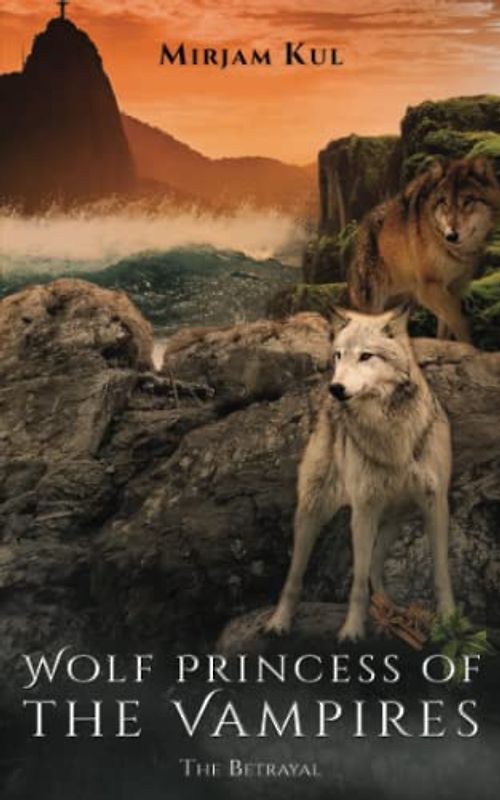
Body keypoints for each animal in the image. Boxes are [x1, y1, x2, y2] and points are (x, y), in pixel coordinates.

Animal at [266, 307, 455, 641]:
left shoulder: (436, 504)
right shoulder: (364, 509)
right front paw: (352, 629)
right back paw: (279, 622)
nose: (336, 388)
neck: (392, 436)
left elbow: (441, 572)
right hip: (312, 513)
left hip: (393, 519)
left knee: (376, 567)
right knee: (295, 576)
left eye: (367, 356)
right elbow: (356, 581)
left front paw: (449, 620)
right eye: (339, 355)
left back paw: (390, 610)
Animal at [348, 157, 500, 342]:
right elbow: (460, 321)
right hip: (375, 302)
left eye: (468, 201)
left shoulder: (454, 289)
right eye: (444, 202)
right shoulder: (428, 288)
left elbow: (446, 326)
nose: (451, 235)